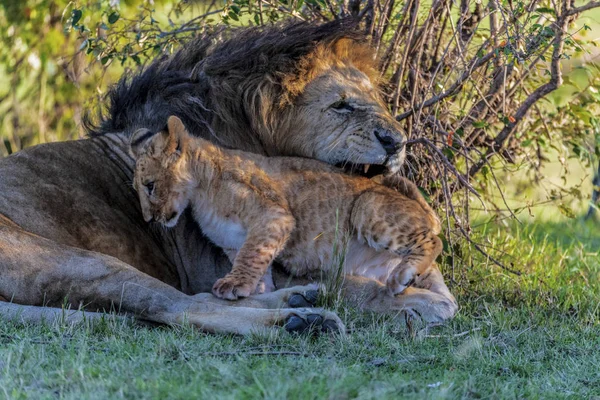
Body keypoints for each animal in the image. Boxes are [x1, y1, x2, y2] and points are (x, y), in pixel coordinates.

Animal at [129, 115, 442, 300]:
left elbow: (252, 254)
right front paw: (257, 291)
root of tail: (427, 211)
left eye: (150, 186)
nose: (148, 218)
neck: (200, 191)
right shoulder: (235, 242)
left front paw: (233, 285)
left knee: (434, 241)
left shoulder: (274, 216)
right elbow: (256, 263)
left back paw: (403, 276)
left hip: (366, 206)